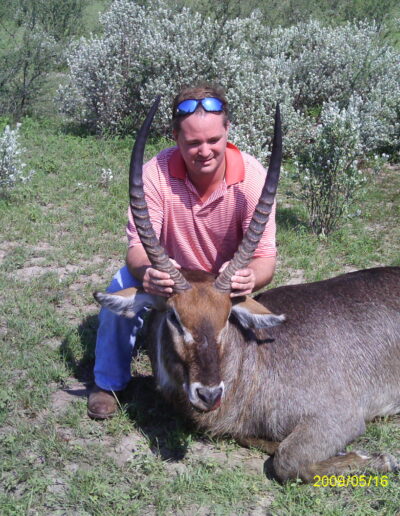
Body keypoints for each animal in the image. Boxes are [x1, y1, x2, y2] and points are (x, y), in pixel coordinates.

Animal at [94, 98, 400, 484]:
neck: (251, 360)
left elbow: (286, 461)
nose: (209, 393)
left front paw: (380, 459)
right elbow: (267, 446)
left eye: (226, 317)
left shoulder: (338, 417)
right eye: (175, 317)